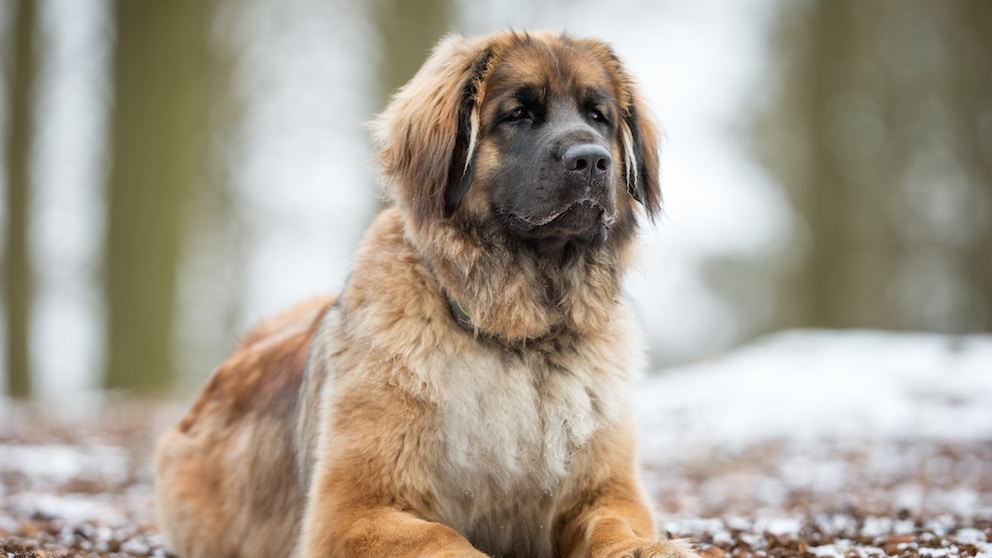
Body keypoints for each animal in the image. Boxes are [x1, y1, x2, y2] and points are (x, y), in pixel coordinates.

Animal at [157, 30, 696, 558]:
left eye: (598, 116)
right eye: (517, 114)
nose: (591, 160)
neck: (517, 341)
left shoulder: (607, 490)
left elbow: (613, 525)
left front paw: (646, 549)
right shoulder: (354, 510)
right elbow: (444, 539)